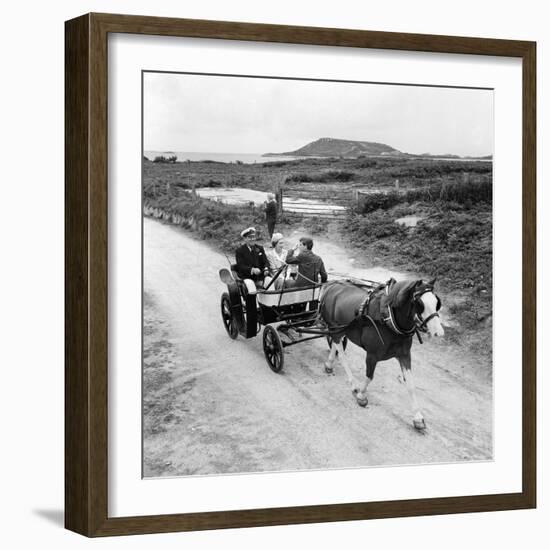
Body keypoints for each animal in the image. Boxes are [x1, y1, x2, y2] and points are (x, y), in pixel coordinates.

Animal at [322, 280, 446, 432]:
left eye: (437, 302)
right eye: (420, 303)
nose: (439, 333)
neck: (388, 319)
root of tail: (332, 285)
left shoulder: (404, 355)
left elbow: (411, 385)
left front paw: (418, 417)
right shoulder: (372, 355)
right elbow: (369, 377)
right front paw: (361, 396)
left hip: (340, 329)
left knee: (335, 343)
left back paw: (329, 364)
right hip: (335, 327)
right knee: (341, 351)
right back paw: (353, 382)